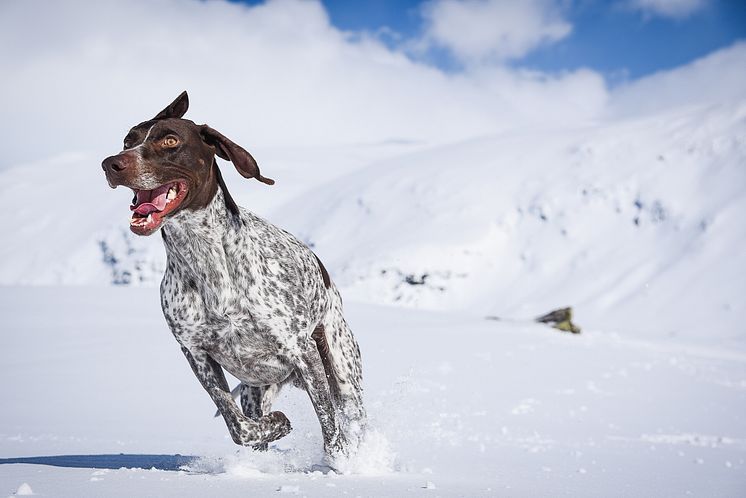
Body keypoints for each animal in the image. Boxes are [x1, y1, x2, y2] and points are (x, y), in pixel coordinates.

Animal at [99, 90, 366, 460]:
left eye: (170, 140)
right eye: (128, 141)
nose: (112, 164)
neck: (206, 259)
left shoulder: (303, 352)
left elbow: (330, 427)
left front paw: (338, 461)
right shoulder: (196, 353)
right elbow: (238, 425)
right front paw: (276, 425)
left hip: (342, 370)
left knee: (350, 417)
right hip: (257, 388)